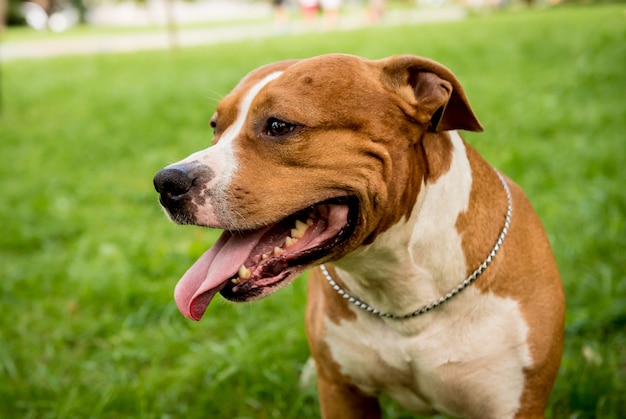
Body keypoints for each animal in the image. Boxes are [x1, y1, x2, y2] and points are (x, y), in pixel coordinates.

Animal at [154, 55, 564, 419]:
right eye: (215, 126)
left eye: (279, 126)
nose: (166, 182)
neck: (401, 291)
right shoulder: (342, 394)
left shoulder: (514, 403)